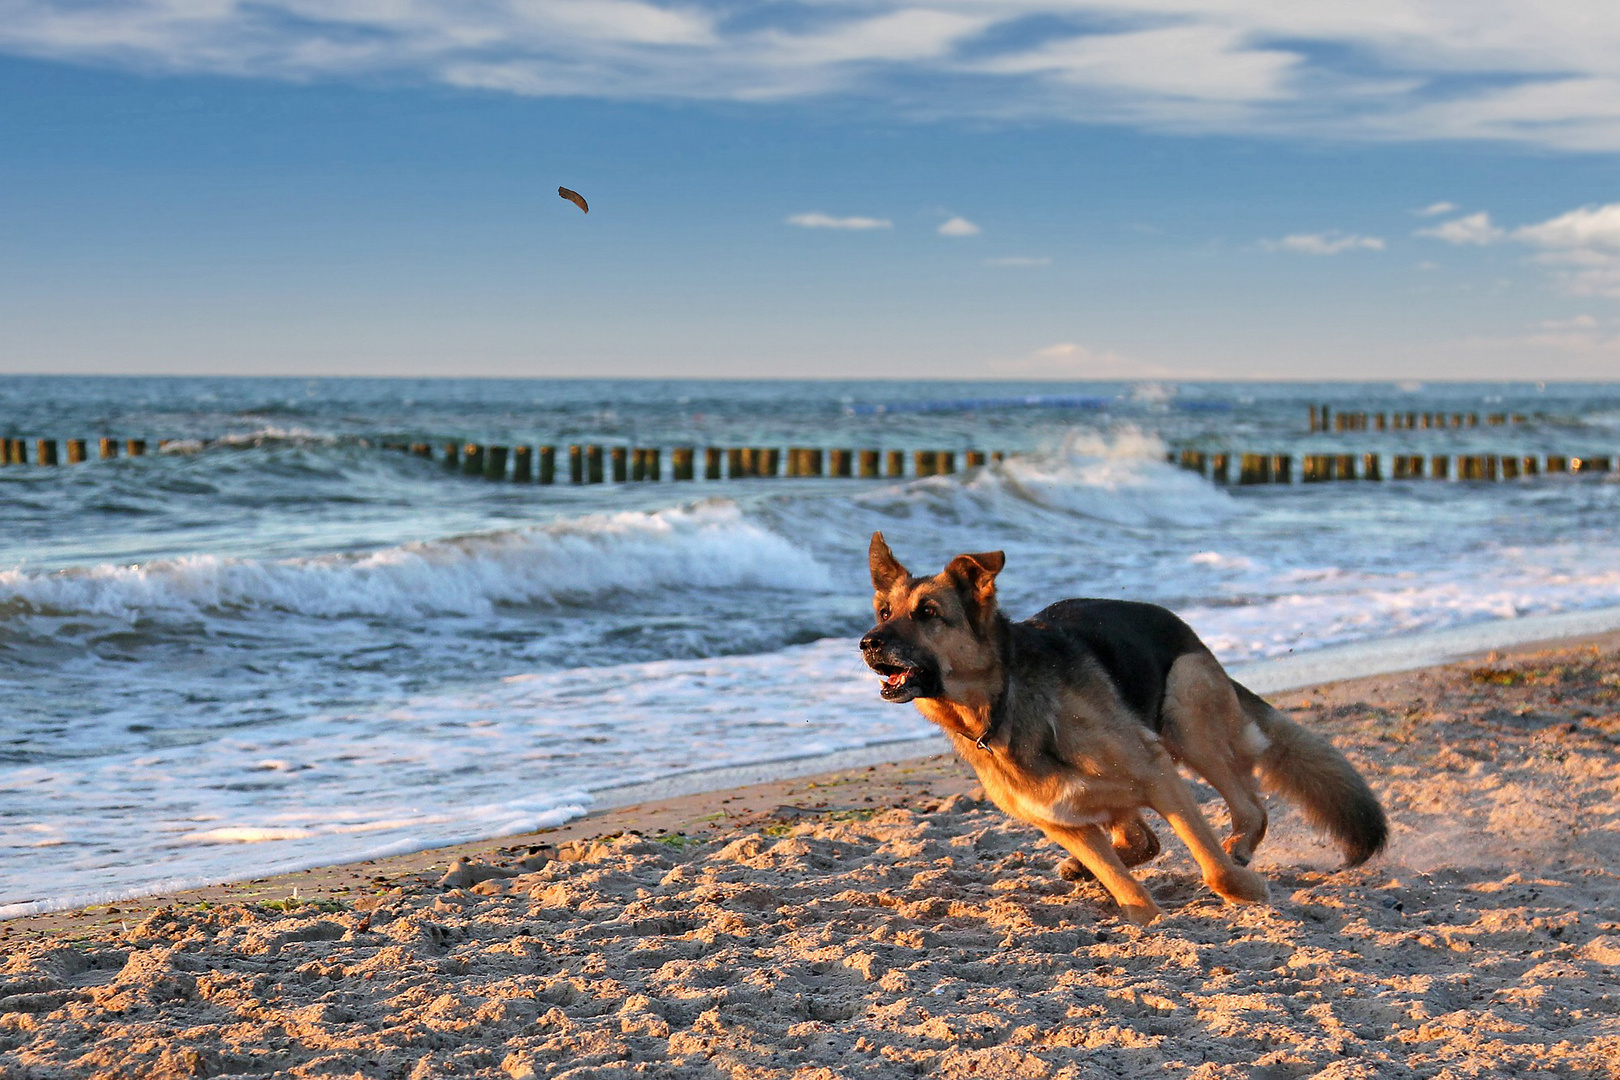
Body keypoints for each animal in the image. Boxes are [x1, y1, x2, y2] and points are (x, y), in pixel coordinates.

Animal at [861, 537, 1393, 926]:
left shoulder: (1157, 775)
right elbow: (1126, 890)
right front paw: (1149, 922)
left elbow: (1212, 868)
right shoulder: (1061, 822)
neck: (1001, 700)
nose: (867, 643)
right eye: (885, 612)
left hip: (1186, 709)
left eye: (928, 613)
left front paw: (1247, 891)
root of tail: (1185, 629)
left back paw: (1239, 848)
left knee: (1249, 808)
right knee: (1143, 839)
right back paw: (1085, 866)